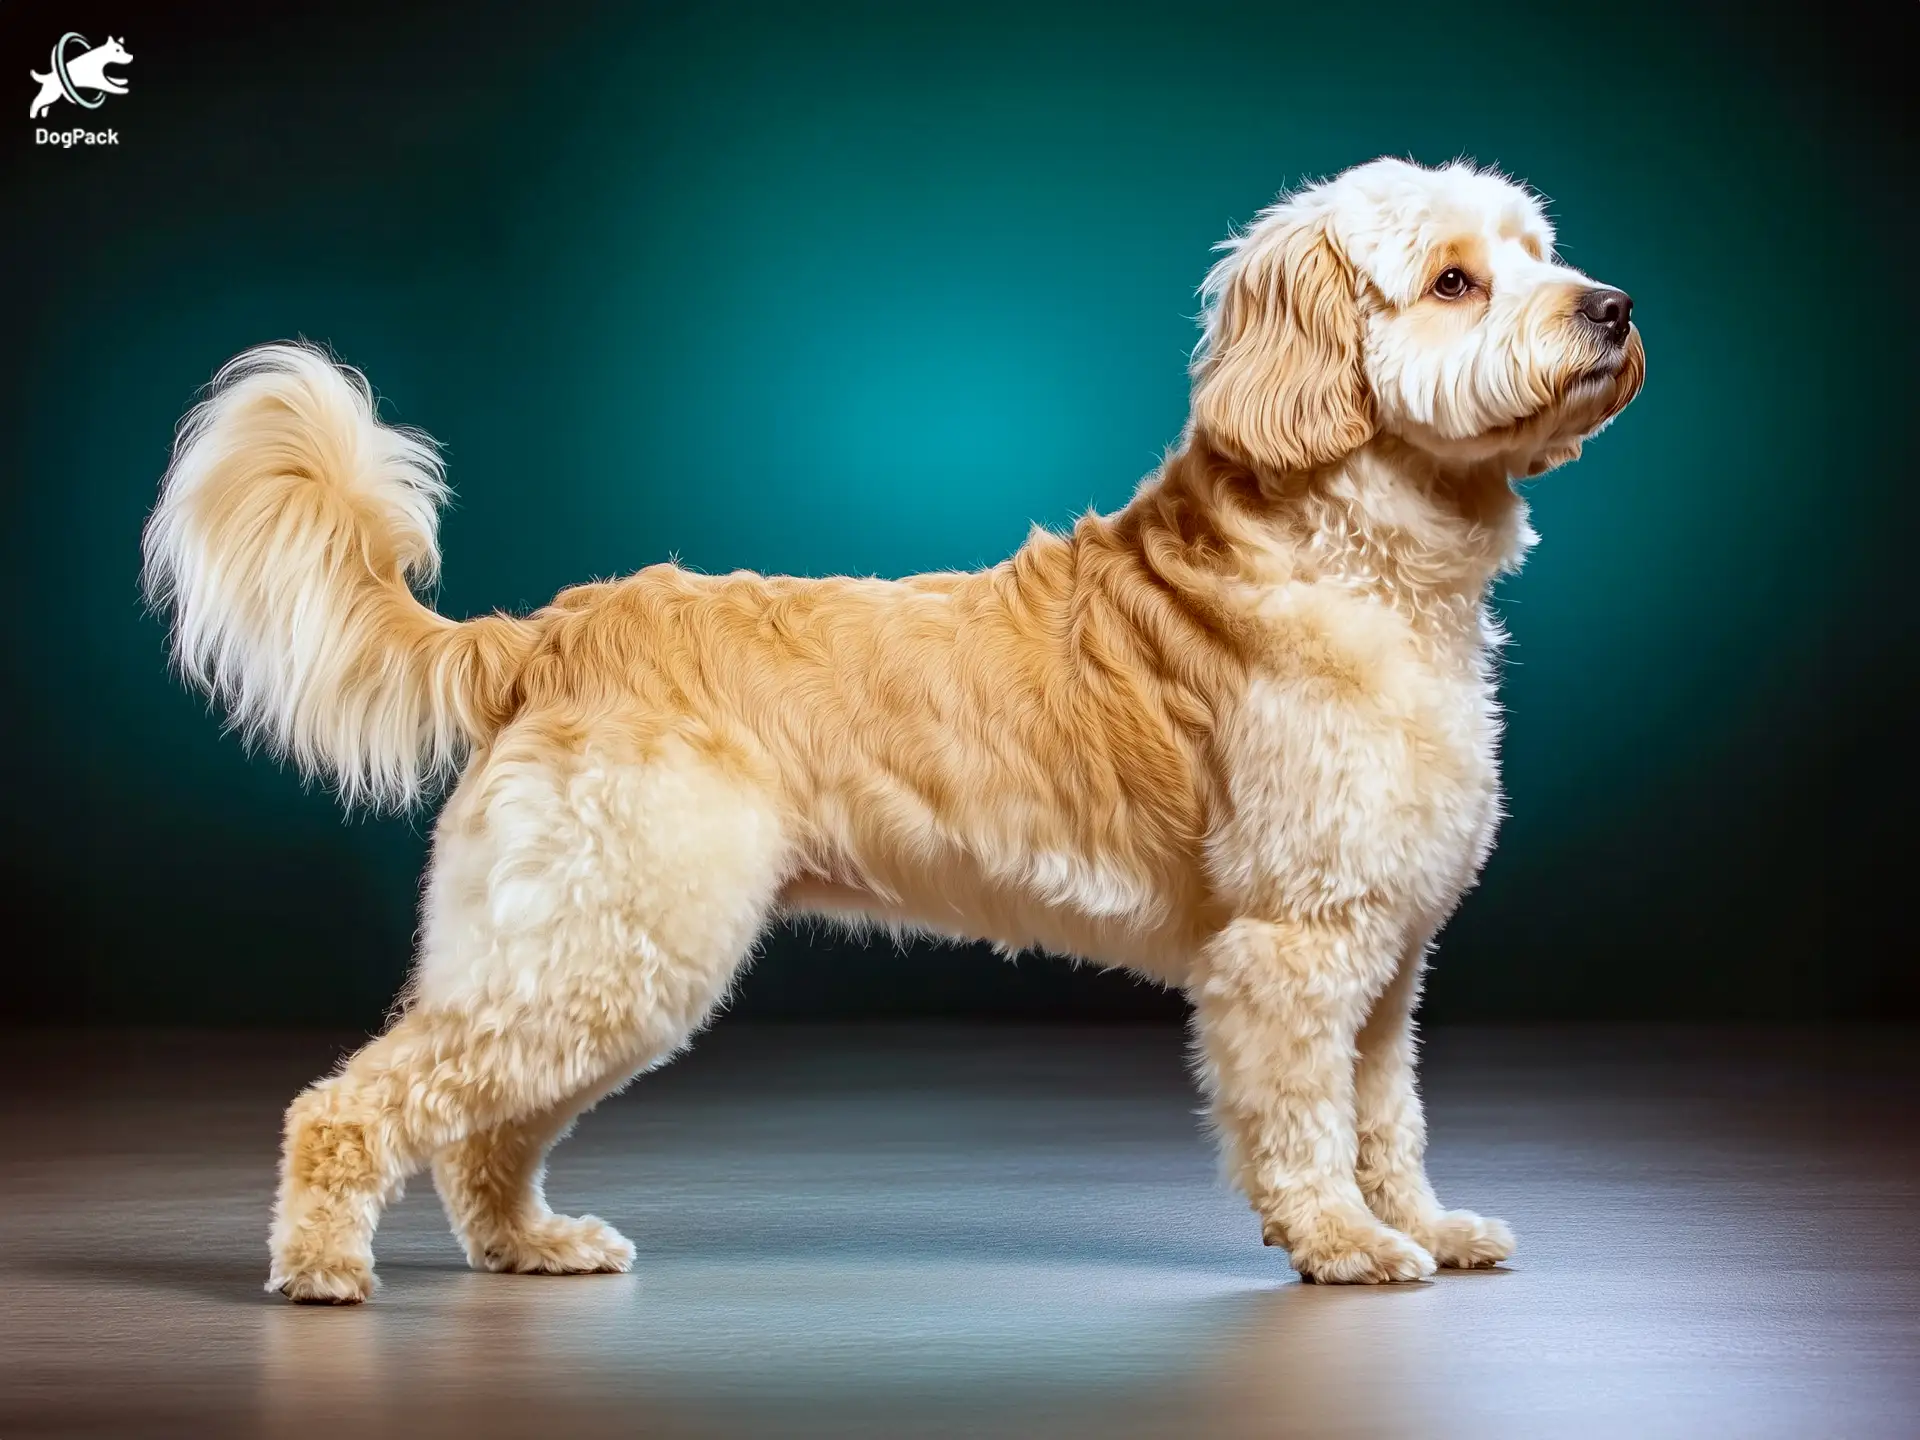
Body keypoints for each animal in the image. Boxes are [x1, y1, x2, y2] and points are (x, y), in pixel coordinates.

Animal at [142, 157, 1651, 1305]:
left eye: (1538, 250)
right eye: (1454, 280)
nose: (1615, 307)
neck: (1356, 555)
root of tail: (553, 630)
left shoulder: (1387, 965)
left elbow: (1389, 1120)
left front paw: (1427, 1227)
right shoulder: (1294, 948)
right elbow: (1305, 1127)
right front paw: (1344, 1245)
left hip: (588, 953)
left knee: (479, 1133)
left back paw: (530, 1246)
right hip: (602, 946)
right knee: (357, 1103)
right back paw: (321, 1270)